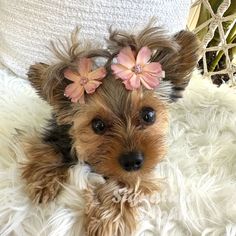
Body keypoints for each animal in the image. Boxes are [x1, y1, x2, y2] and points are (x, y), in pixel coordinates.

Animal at [20, 24, 199, 236]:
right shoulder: (60, 131)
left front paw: (109, 220)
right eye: (98, 125)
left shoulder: (140, 174)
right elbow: (52, 149)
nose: (132, 161)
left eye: (148, 115)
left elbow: (130, 184)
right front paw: (43, 180)